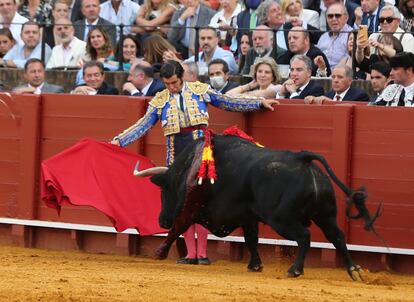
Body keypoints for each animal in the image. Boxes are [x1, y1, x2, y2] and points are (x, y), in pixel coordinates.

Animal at [135, 134, 378, 280]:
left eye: (163, 190)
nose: (161, 221)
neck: (189, 168)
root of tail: (302, 159)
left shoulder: (191, 207)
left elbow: (178, 227)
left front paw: (159, 253)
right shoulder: (248, 216)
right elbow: (251, 239)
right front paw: (255, 265)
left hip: (281, 219)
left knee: (304, 236)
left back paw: (295, 270)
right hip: (325, 214)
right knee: (337, 236)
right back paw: (354, 270)